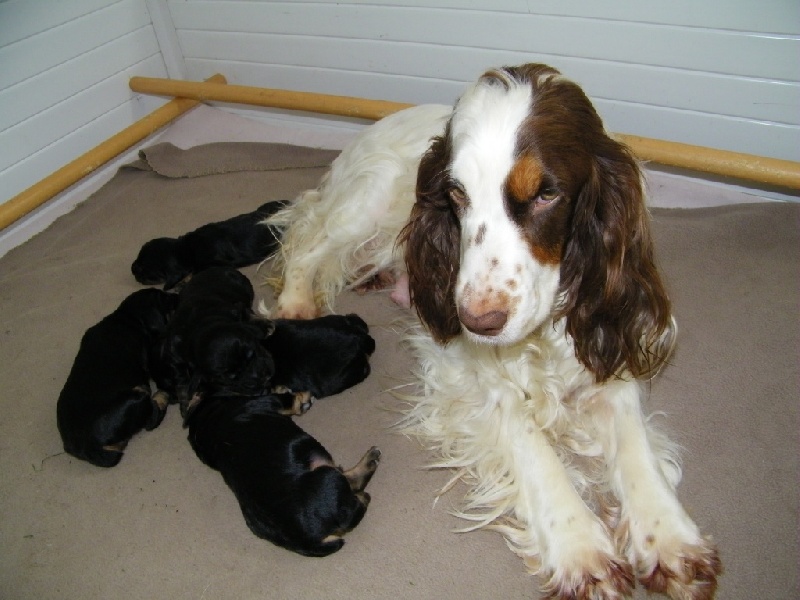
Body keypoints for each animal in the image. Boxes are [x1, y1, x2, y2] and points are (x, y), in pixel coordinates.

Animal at [57, 288, 179, 466]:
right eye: (164, 298)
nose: (179, 295)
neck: (128, 317)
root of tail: (90, 446)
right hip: (138, 395)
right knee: (152, 418)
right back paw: (162, 395)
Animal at [186, 394, 380, 556]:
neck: (207, 418)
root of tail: (308, 542)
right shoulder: (269, 401)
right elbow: (289, 399)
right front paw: (303, 399)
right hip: (328, 477)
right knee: (354, 489)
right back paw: (370, 463)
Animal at [266, 63, 720, 596]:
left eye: (546, 194)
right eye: (455, 196)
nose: (478, 320)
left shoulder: (601, 344)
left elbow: (634, 446)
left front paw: (669, 538)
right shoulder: (472, 373)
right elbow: (532, 443)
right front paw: (580, 548)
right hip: (366, 201)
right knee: (309, 239)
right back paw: (297, 305)